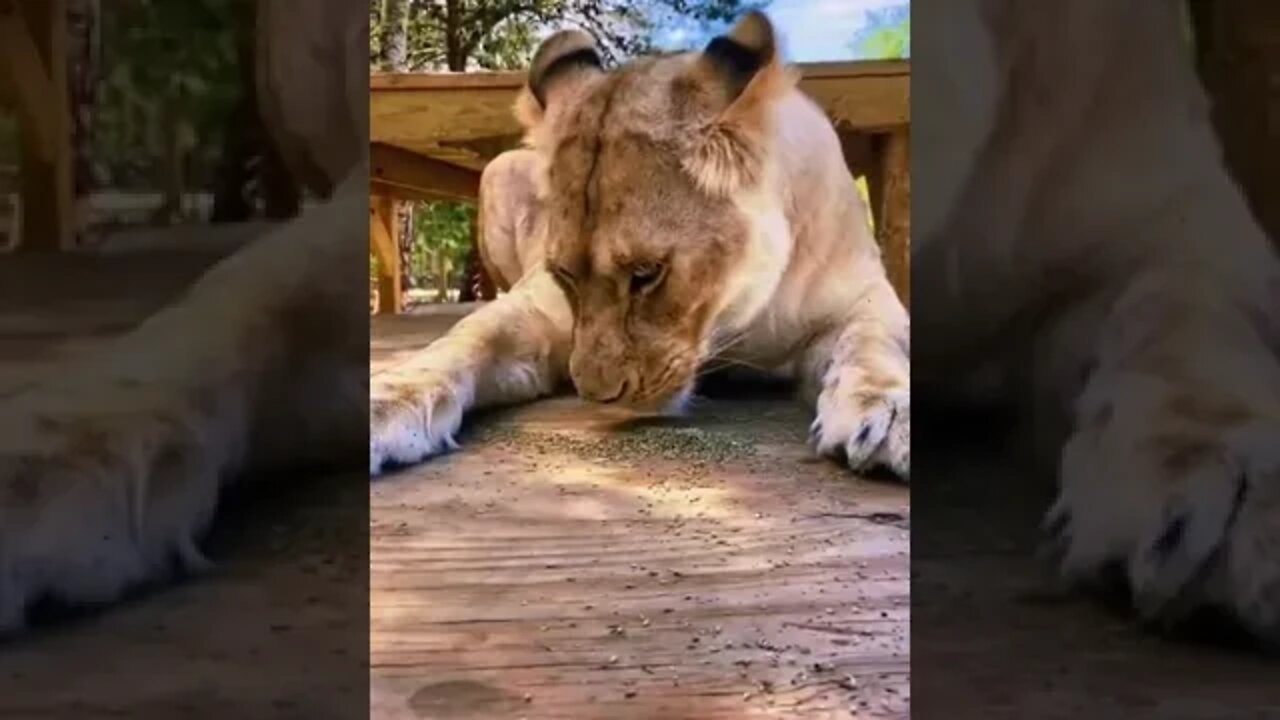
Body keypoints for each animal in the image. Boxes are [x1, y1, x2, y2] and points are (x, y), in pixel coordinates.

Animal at [366, 9, 916, 481]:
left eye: (648, 274)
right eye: (564, 274)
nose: (597, 395)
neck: (730, 316)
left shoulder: (862, 297)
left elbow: (872, 342)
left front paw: (888, 413)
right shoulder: (536, 310)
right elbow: (461, 340)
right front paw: (383, 402)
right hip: (500, 171)